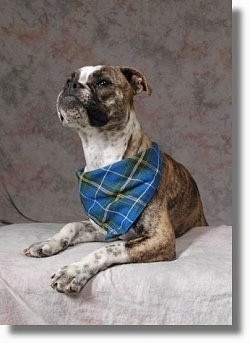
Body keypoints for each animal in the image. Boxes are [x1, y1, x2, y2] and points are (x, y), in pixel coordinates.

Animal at [23, 66, 208, 294]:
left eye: (103, 82)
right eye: (68, 79)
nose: (71, 85)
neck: (102, 154)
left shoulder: (160, 238)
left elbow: (107, 249)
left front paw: (74, 271)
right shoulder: (105, 227)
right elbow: (71, 225)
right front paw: (47, 243)